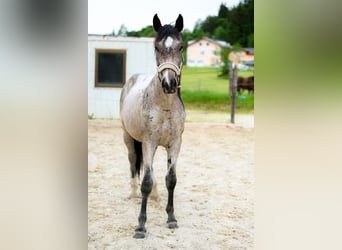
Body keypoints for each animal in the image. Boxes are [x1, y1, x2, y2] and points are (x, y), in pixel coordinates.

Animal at [119, 14, 184, 239]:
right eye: (156, 47)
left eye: (181, 46)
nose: (169, 84)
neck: (164, 106)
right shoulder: (149, 143)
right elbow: (145, 181)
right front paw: (140, 226)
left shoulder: (175, 144)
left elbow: (171, 179)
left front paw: (171, 218)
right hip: (129, 138)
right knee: (133, 163)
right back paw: (132, 193)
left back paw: (155, 196)